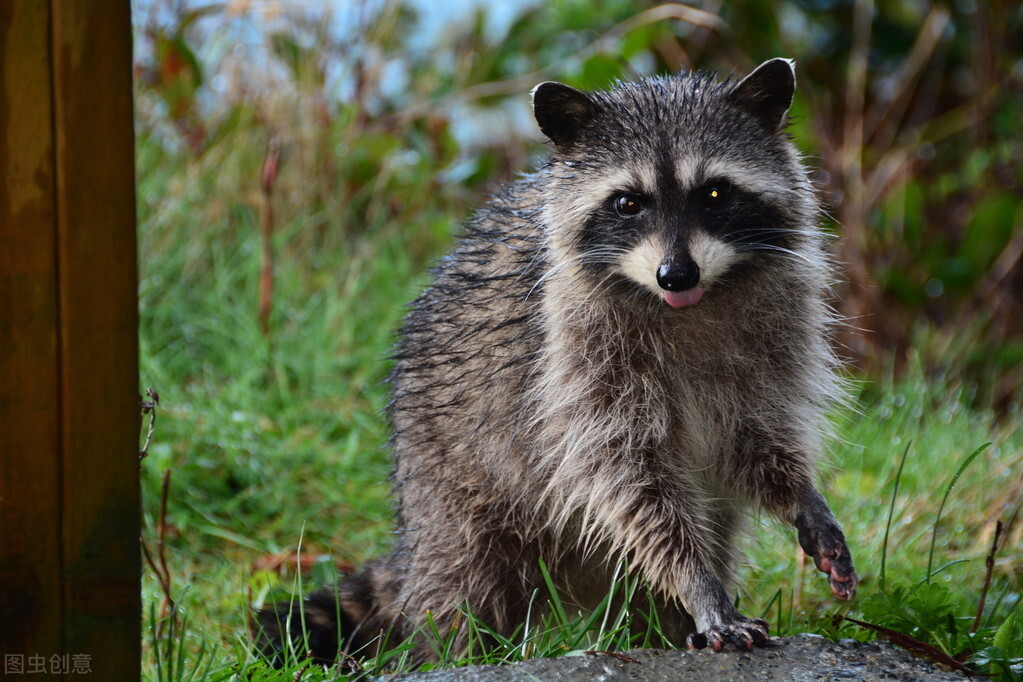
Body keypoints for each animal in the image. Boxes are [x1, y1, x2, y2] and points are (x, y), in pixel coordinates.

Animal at [253, 58, 855, 666]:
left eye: (714, 192)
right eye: (627, 202)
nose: (676, 274)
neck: (689, 304)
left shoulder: (773, 338)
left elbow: (754, 439)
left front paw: (801, 496)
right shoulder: (575, 362)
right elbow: (631, 481)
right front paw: (698, 584)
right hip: (450, 483)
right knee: (462, 583)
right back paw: (452, 649)